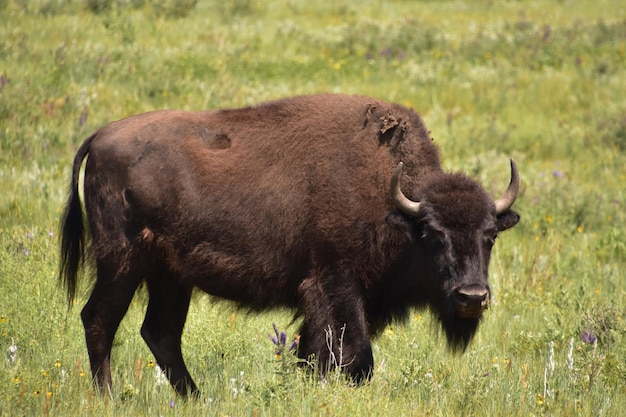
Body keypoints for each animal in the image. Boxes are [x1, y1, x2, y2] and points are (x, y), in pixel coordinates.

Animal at [59, 93, 516, 396]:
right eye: (433, 235)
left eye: (489, 236)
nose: (472, 297)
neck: (394, 203)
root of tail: (99, 136)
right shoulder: (337, 284)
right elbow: (355, 355)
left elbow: (314, 354)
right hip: (121, 262)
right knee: (98, 319)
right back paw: (110, 398)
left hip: (170, 276)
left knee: (161, 333)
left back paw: (196, 398)